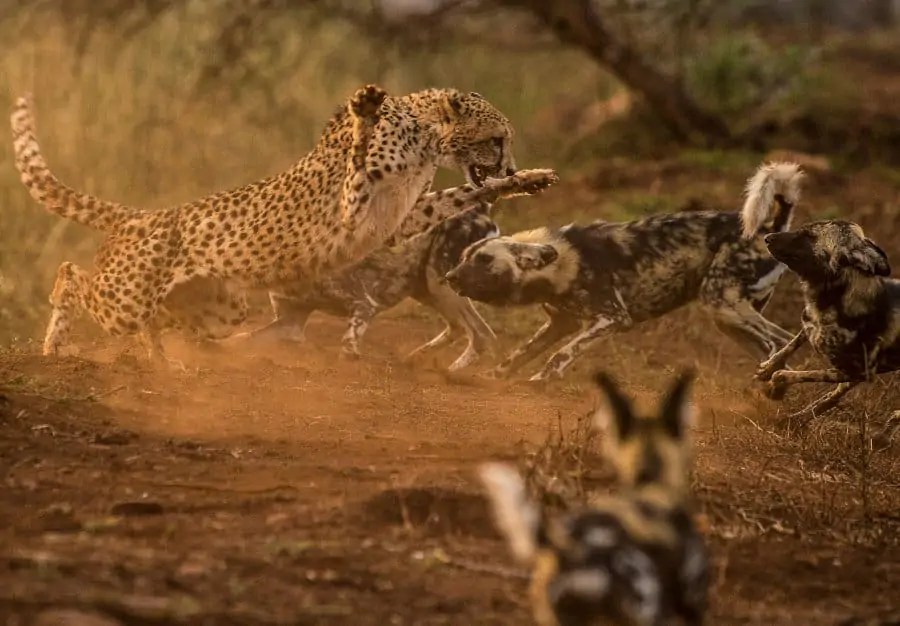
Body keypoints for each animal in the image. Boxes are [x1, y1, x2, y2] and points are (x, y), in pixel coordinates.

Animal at [10, 86, 558, 367]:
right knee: (71, 276)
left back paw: (166, 359)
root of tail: (146, 214)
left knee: (155, 319)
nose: (509, 163)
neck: (426, 137)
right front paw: (364, 108)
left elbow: (464, 195)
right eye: (496, 138)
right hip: (127, 298)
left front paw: (529, 180)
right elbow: (359, 151)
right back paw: (54, 343)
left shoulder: (398, 223)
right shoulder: (351, 208)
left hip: (220, 306)